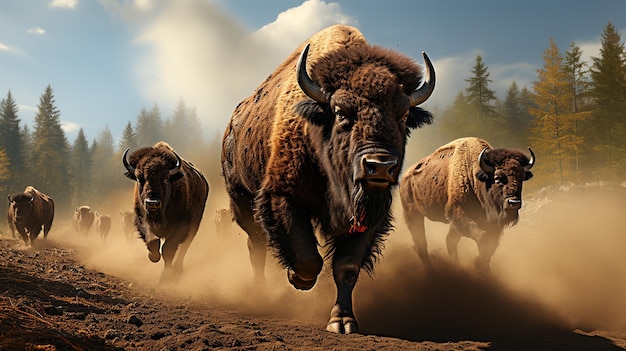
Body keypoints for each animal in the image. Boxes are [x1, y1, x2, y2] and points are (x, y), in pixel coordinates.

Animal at [122, 142, 210, 282]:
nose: (152, 202)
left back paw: (178, 271)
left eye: (166, 179)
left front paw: (165, 277)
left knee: (184, 247)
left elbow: (168, 250)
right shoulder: (142, 219)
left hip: (195, 224)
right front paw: (153, 256)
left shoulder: (180, 225)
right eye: (140, 179)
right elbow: (153, 241)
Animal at [221, 23, 434, 334]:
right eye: (341, 112)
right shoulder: (282, 196)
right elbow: (308, 259)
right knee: (256, 246)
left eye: (404, 114)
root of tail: (232, 125)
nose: (380, 166)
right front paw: (298, 279)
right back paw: (261, 290)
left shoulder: (370, 213)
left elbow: (346, 267)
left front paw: (342, 321)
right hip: (241, 199)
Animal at [398, 137, 532, 272]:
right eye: (497, 178)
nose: (514, 203)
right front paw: (479, 263)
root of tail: (404, 179)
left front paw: (481, 265)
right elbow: (482, 238)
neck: (475, 175)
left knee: (449, 241)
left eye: (521, 178)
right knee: (422, 244)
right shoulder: (458, 211)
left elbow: (491, 245)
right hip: (413, 215)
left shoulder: (493, 224)